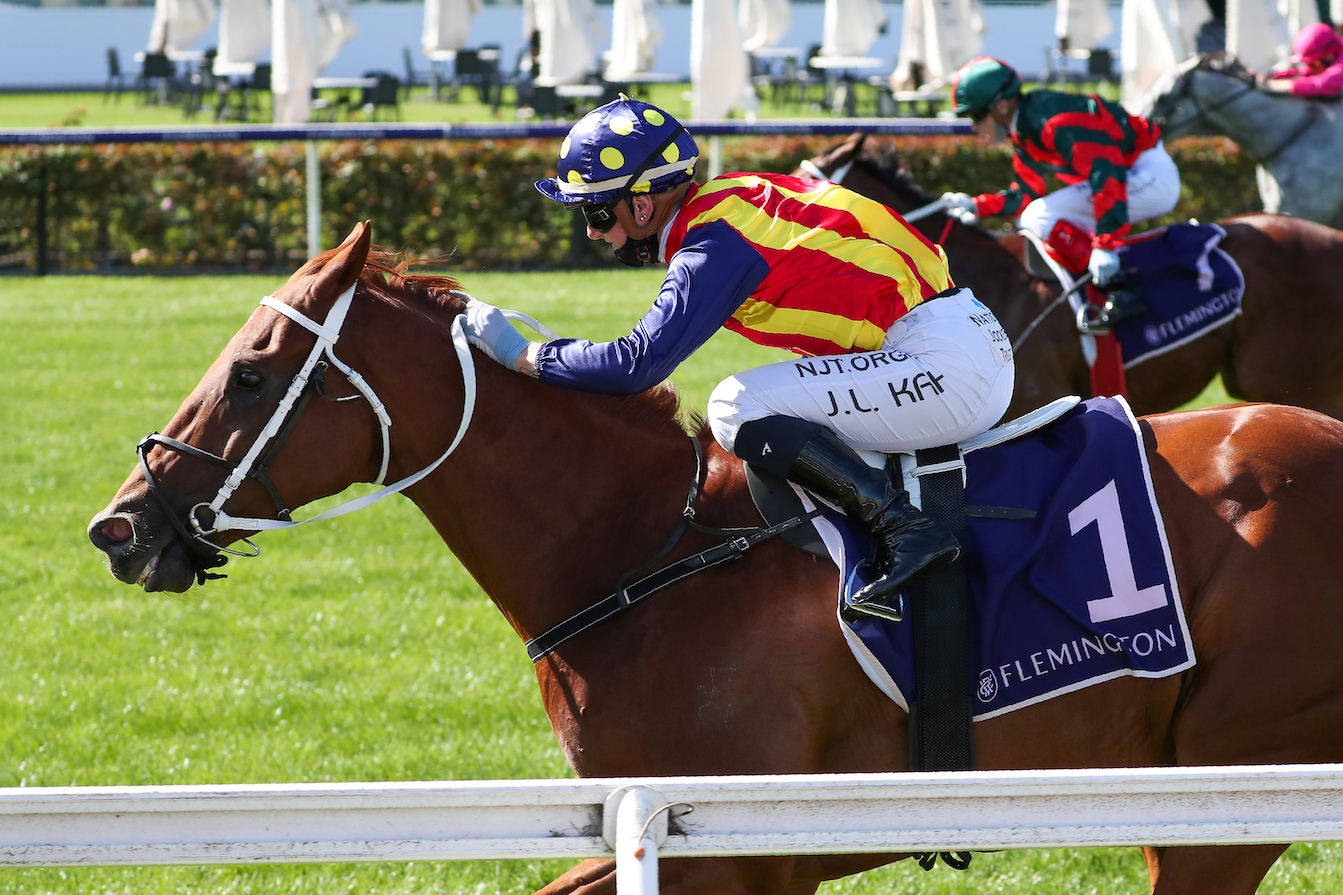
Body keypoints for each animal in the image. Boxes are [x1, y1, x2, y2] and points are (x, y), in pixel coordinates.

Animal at [94, 217, 1343, 892]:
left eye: (251, 373)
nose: (123, 524)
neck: (638, 552)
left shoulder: (727, 847)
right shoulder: (675, 831)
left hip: (1228, 782)